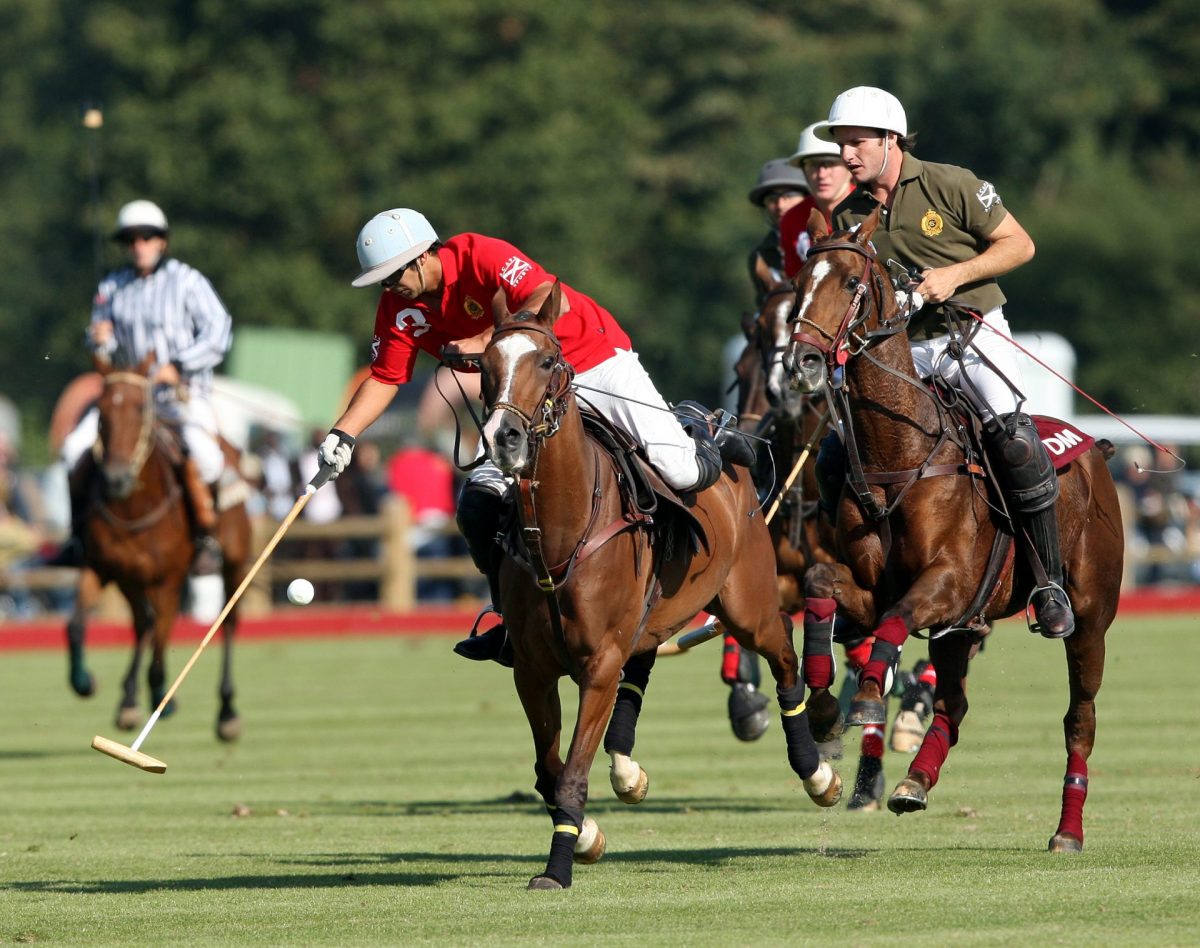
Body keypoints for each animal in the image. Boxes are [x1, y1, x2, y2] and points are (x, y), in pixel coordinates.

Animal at [70, 357, 250, 744]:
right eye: (101, 411)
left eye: (141, 408)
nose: (116, 479)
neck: (133, 508)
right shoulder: (101, 567)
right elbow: (76, 624)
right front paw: (84, 682)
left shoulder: (170, 578)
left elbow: (164, 636)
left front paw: (162, 698)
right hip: (131, 579)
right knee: (143, 624)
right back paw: (127, 702)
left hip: (235, 561)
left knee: (227, 622)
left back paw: (227, 712)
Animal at [480, 288, 844, 892]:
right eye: (483, 365)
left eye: (549, 361)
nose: (503, 439)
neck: (559, 533)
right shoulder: (531, 669)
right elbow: (549, 769)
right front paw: (585, 836)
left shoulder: (599, 663)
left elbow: (572, 771)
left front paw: (557, 869)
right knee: (644, 664)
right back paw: (627, 771)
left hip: (750, 605)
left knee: (786, 662)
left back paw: (817, 772)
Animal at [787, 210, 1123, 854]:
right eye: (798, 283)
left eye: (850, 282)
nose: (804, 363)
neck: (899, 454)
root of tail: (1095, 448)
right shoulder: (878, 590)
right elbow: (821, 582)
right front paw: (821, 709)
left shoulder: (947, 581)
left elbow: (895, 622)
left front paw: (867, 698)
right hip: (964, 625)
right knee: (955, 703)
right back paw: (914, 782)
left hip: (1091, 615)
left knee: (1081, 719)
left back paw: (1067, 831)